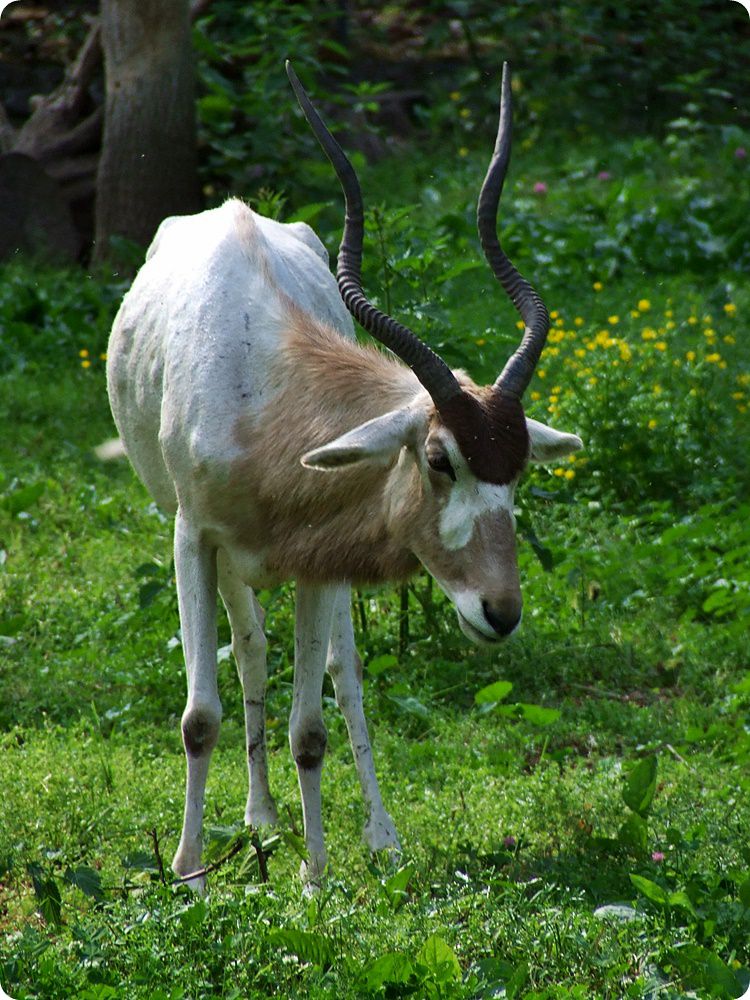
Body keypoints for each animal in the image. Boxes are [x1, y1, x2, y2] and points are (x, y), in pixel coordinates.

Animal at [105, 61, 582, 891]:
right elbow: (199, 717)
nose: (500, 611)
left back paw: (371, 836)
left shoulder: (320, 561)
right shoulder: (191, 538)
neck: (263, 395)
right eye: (439, 458)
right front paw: (189, 873)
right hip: (224, 554)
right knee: (250, 648)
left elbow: (312, 726)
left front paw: (317, 879)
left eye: (519, 468)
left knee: (339, 672)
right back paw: (260, 819)